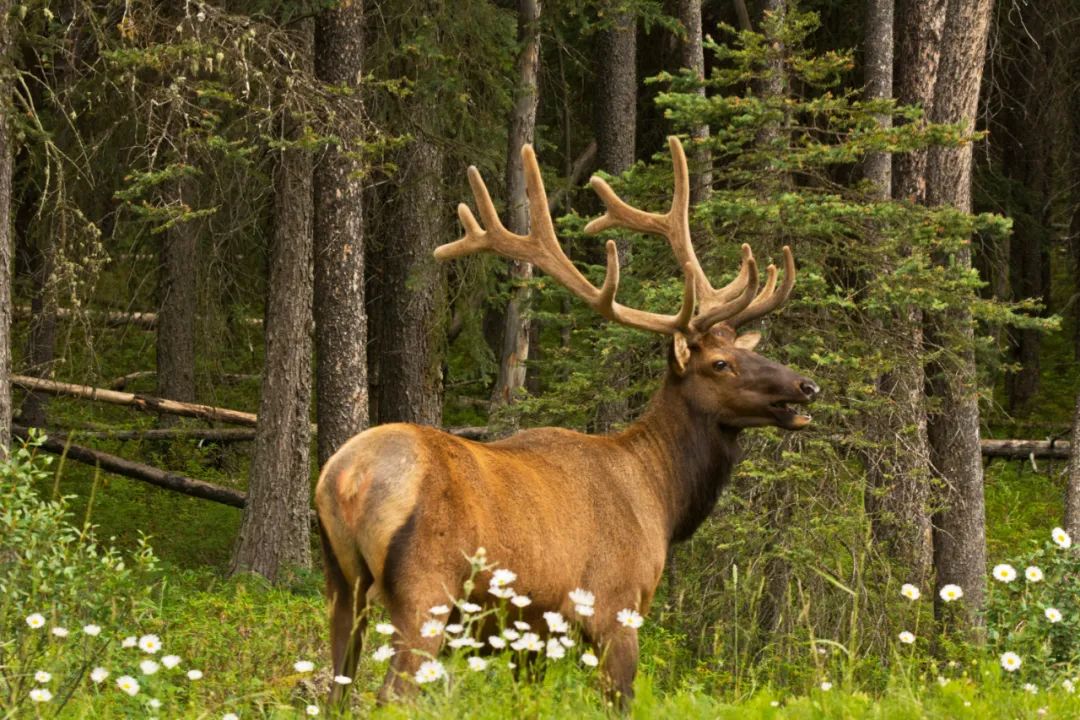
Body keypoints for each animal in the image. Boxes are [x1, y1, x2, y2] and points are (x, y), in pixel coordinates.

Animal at [315, 134, 816, 703]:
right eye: (720, 364)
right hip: (426, 590)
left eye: (747, 351)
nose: (806, 386)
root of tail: (346, 480)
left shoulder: (531, 633)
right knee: (392, 693)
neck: (661, 497)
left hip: (341, 585)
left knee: (337, 688)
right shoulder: (615, 606)